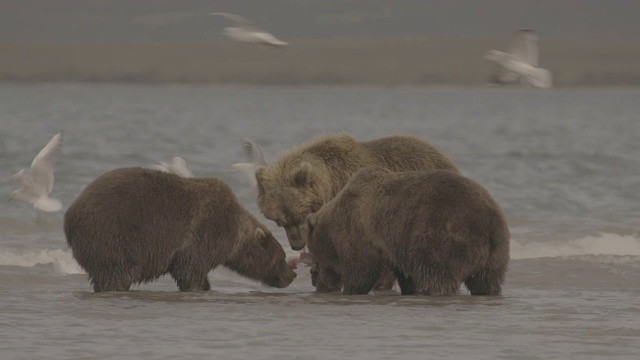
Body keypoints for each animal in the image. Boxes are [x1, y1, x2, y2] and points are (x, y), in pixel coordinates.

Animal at [63, 167, 296, 292]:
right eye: (283, 256)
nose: (292, 275)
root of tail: (69, 216)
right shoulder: (206, 232)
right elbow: (190, 269)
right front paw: (198, 287)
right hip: (111, 235)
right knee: (117, 273)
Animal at [304, 166, 510, 296]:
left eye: (317, 260)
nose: (317, 283)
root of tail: (488, 220)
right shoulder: (396, 245)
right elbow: (408, 275)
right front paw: (411, 289)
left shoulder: (358, 230)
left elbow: (361, 268)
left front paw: (351, 289)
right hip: (496, 251)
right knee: (487, 279)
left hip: (442, 235)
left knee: (436, 273)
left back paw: (434, 291)